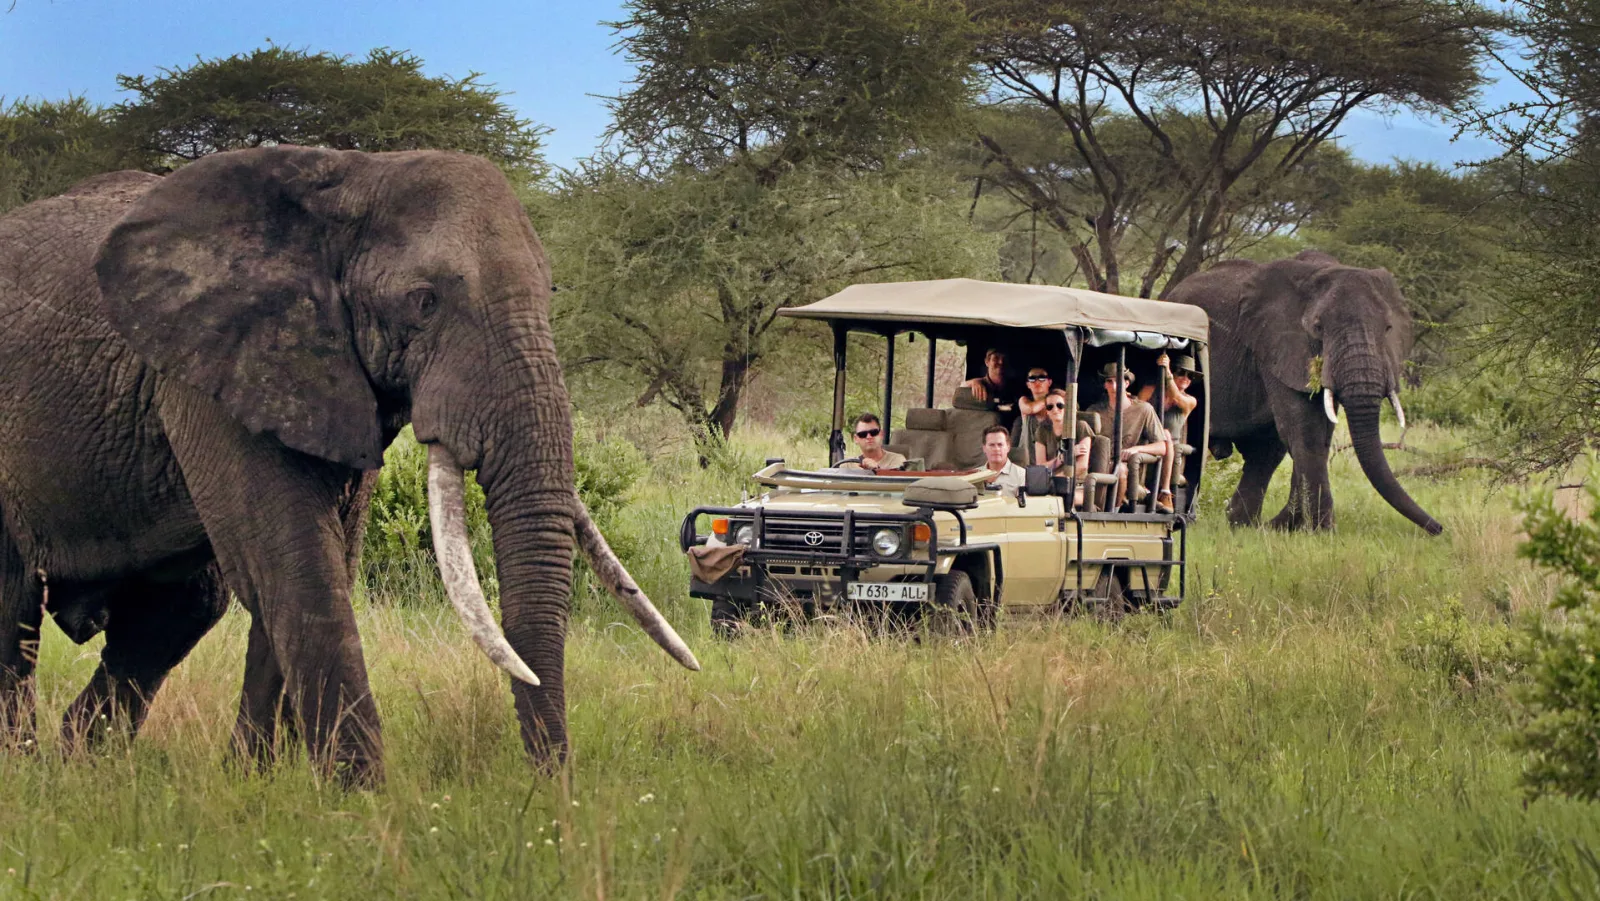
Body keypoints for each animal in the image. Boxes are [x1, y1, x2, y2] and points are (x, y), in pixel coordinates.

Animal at [0, 146, 699, 785]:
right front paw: (361, 803)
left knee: (184, 608)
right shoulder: (215, 366)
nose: (552, 795)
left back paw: (81, 765)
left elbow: (318, 558)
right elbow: (294, 565)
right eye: (424, 301)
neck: (354, 174)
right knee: (16, 604)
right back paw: (25, 771)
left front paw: (255, 786)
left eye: (551, 295)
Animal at [1165, 250, 1443, 535]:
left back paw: (1242, 524)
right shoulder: (1276, 347)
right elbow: (1305, 428)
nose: (1439, 528)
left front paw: (1295, 527)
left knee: (1265, 452)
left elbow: (1319, 432)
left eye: (1388, 329)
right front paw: (1324, 531)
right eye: (1318, 328)